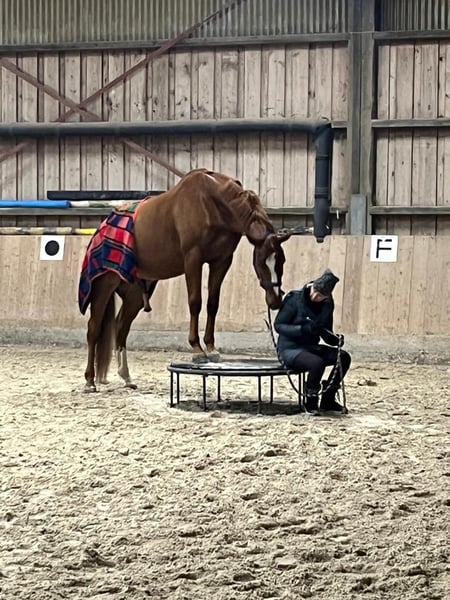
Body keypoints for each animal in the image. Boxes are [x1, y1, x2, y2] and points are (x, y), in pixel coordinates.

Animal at [79, 168, 291, 392]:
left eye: (282, 261)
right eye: (262, 263)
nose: (275, 300)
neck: (211, 202)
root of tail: (103, 226)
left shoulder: (222, 261)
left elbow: (212, 303)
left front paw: (211, 348)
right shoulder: (193, 259)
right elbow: (195, 302)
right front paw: (197, 349)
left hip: (134, 294)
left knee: (121, 328)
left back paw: (126, 377)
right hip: (104, 285)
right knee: (93, 328)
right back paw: (90, 381)